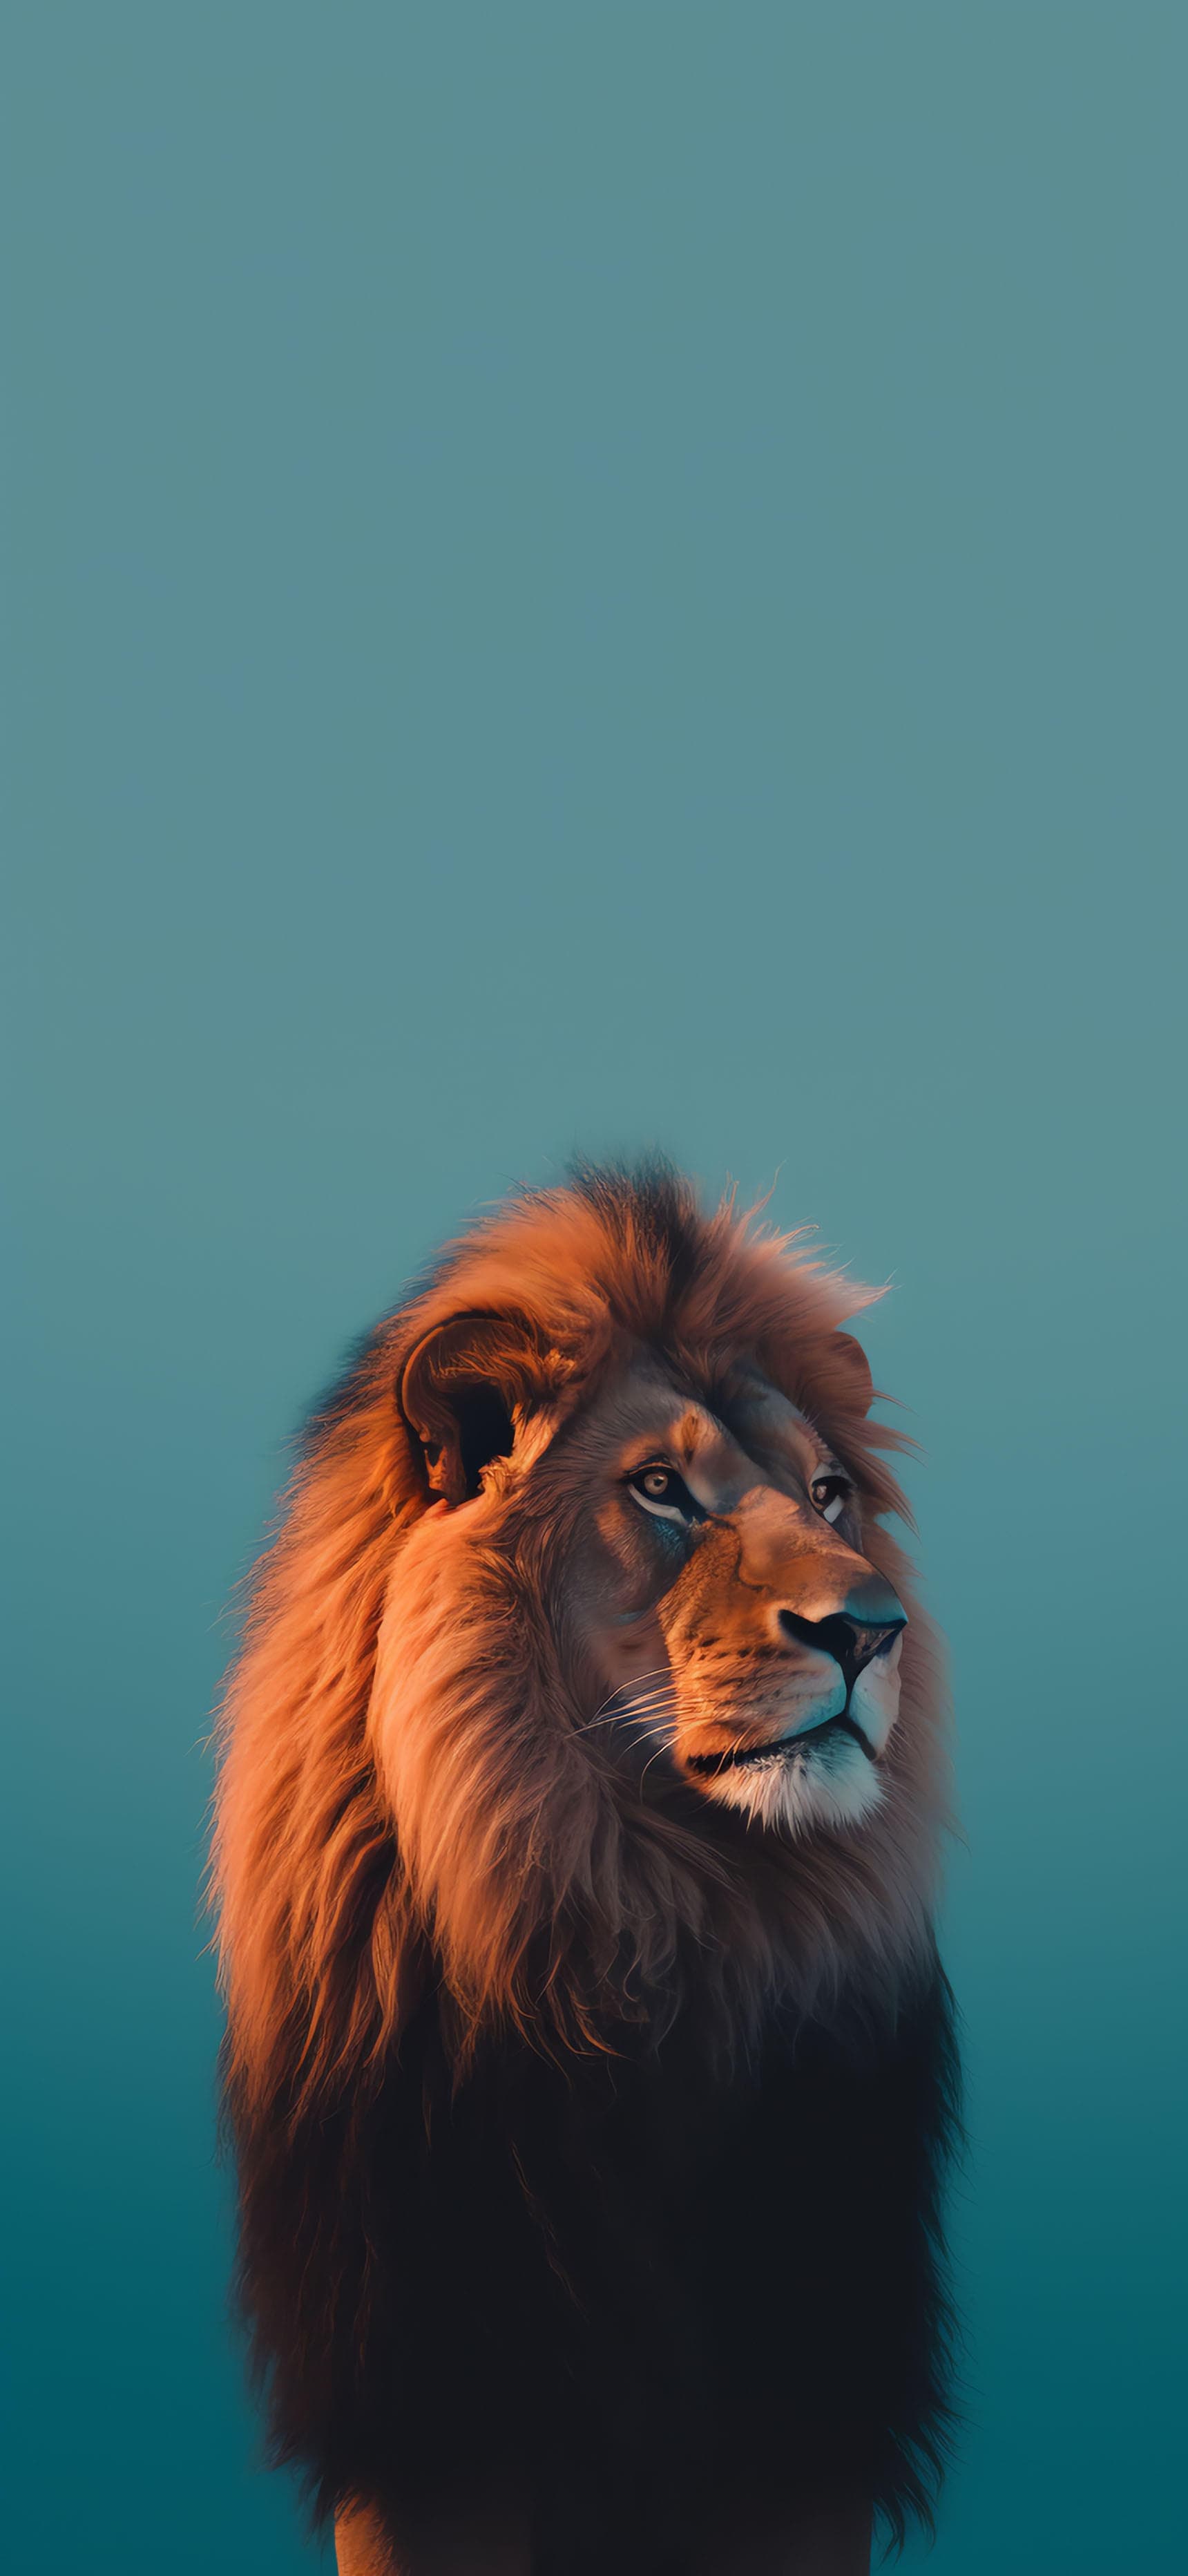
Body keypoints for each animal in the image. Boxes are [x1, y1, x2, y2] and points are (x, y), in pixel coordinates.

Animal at [213, 1163, 958, 2576]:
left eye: (829, 1494)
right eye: (662, 1487)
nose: (871, 1630)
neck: (644, 1916)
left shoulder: (811, 2412)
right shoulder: (426, 2416)